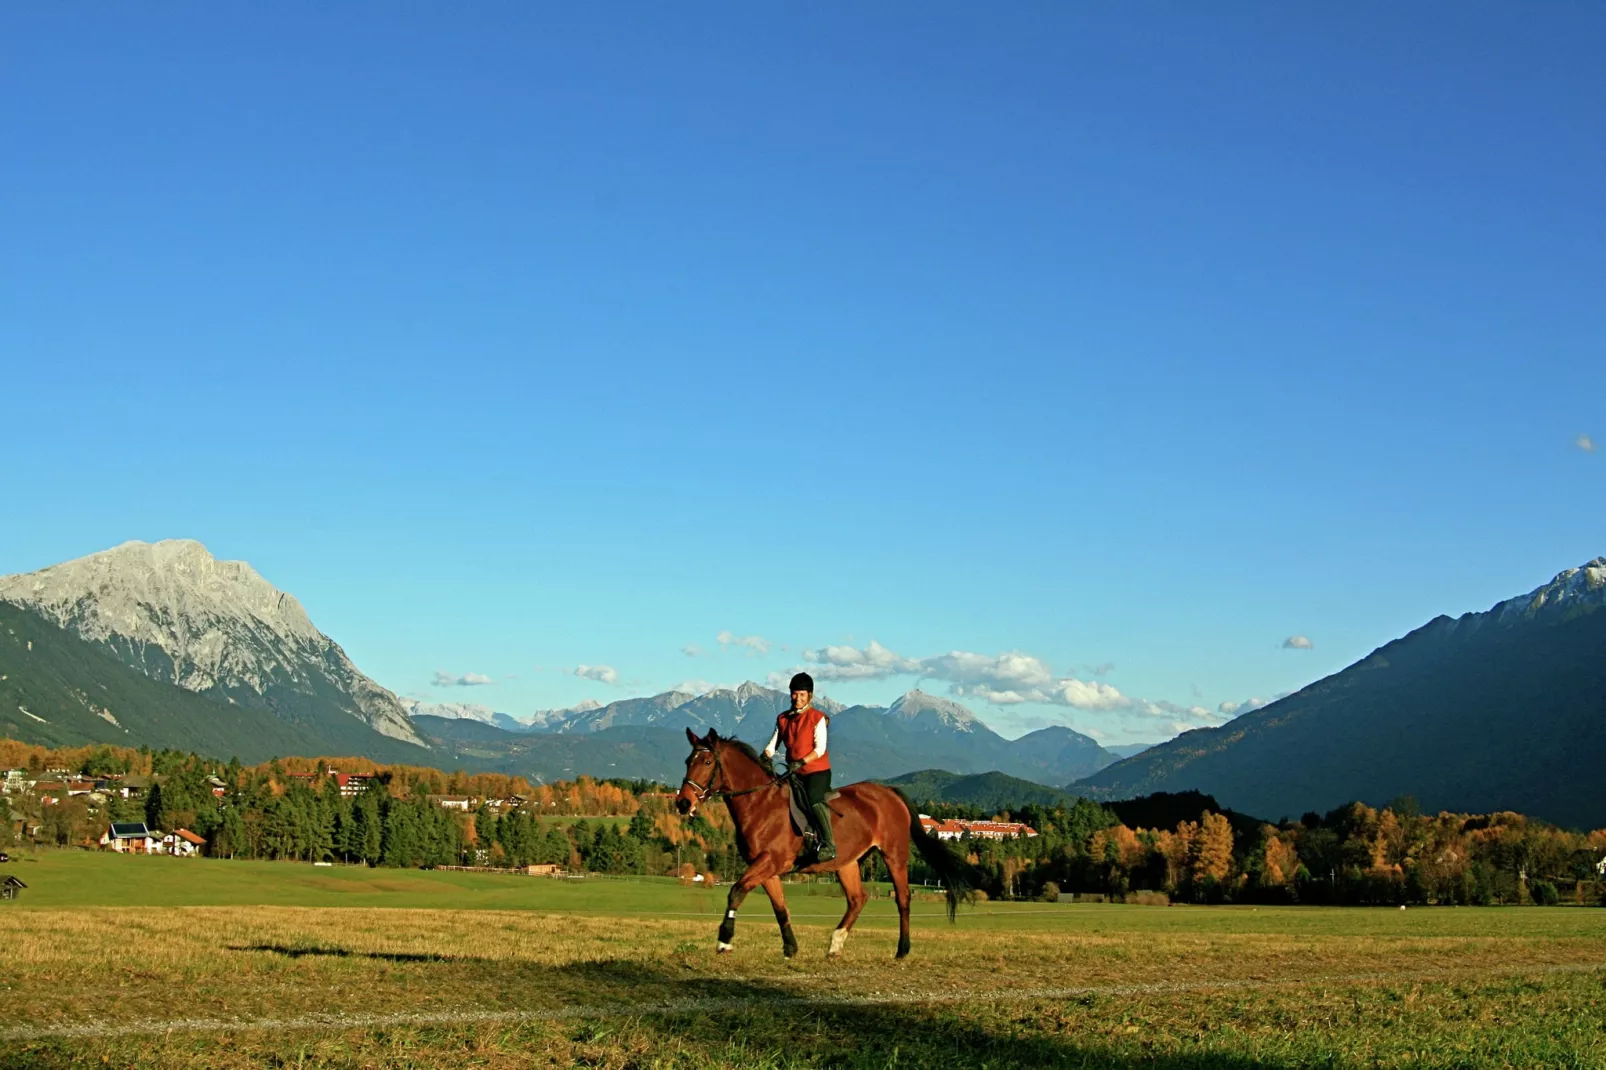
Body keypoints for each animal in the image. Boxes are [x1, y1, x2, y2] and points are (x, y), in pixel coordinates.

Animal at [668, 726, 976, 957]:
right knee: (857, 899)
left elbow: (735, 891)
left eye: (708, 762)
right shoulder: (767, 868)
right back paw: (835, 944)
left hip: (894, 855)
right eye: (687, 762)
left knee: (902, 898)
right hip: (846, 862)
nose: (683, 803)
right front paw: (791, 948)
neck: (760, 803)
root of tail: (889, 792)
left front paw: (724, 940)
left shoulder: (770, 861)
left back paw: (902, 949)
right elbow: (779, 907)